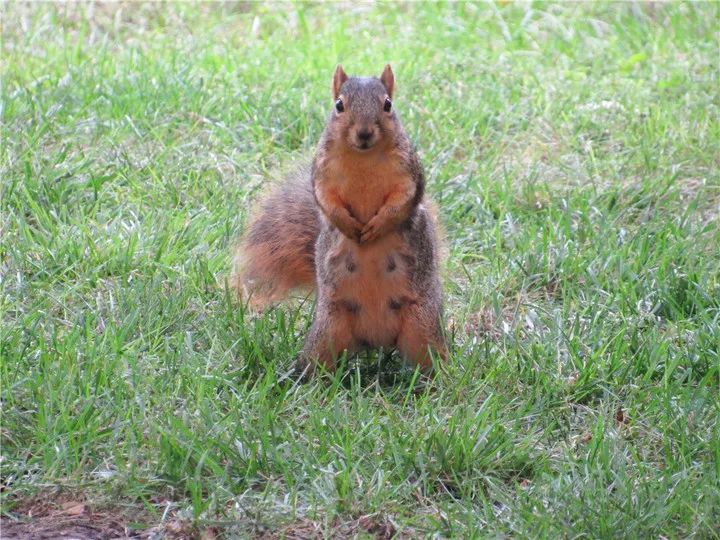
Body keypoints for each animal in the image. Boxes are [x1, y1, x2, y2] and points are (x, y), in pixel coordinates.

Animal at [232, 65, 444, 374]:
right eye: (339, 105)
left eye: (388, 105)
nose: (364, 132)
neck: (364, 158)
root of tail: (375, 339)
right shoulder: (322, 171)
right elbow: (325, 198)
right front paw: (348, 225)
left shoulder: (409, 173)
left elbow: (402, 200)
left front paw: (377, 226)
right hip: (329, 329)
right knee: (319, 361)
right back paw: (300, 377)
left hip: (421, 325)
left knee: (429, 359)